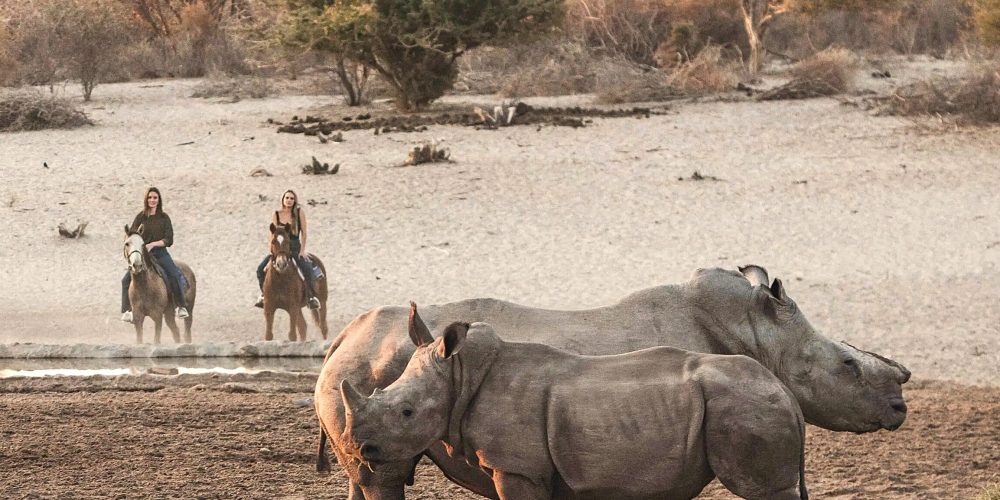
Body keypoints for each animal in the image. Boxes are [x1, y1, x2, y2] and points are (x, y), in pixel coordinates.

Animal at [341, 316, 809, 500]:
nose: (358, 447)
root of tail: (785, 391)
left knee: (766, 491)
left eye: (406, 413)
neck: (461, 376)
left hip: (745, 405)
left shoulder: (517, 468)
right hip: (748, 401)